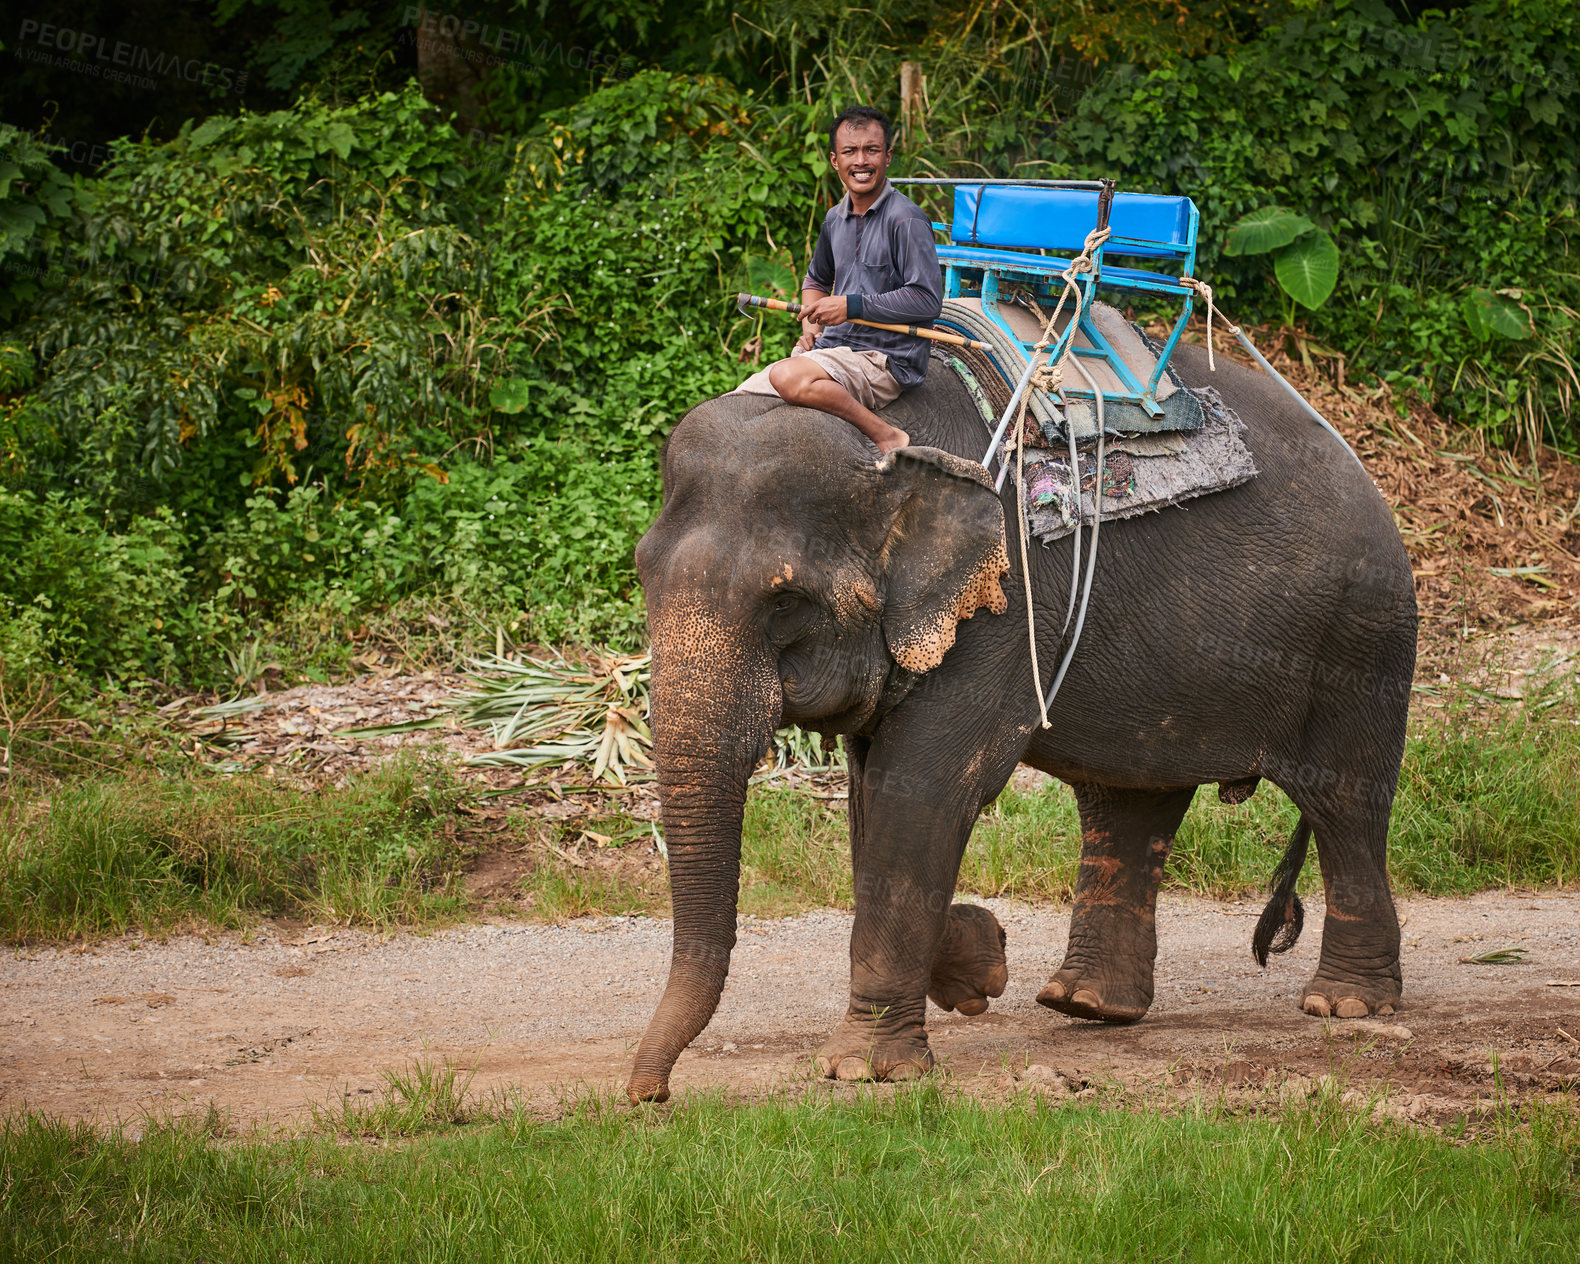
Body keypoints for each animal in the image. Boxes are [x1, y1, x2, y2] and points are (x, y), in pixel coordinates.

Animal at [625, 341, 1422, 1099]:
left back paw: (1344, 1005)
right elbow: (875, 797)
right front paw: (978, 967)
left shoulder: (1003, 611)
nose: (648, 1096)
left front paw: (866, 1071)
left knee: (1344, 802)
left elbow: (923, 792)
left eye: (785, 602)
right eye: (642, 574)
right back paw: (1086, 1005)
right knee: (1129, 799)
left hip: (1361, 642)